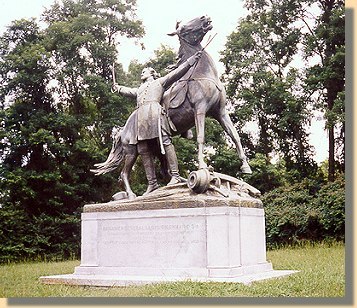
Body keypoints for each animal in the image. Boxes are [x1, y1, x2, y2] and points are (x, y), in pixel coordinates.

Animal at [93, 15, 252, 199]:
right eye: (183, 28)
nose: (205, 18)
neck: (202, 74)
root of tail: (122, 130)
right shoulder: (200, 110)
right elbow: (201, 137)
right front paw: (203, 165)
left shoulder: (221, 113)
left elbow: (235, 136)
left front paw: (245, 167)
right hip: (131, 151)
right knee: (124, 173)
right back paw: (133, 195)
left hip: (155, 147)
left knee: (162, 167)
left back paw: (171, 184)